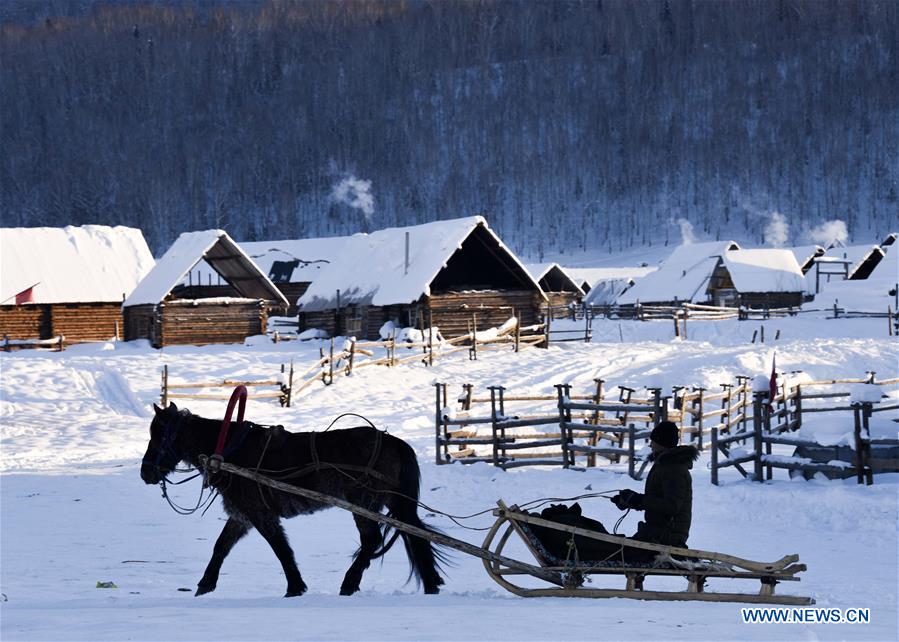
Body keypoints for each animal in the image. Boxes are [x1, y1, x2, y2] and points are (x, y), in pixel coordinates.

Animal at [141, 402, 446, 596]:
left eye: (159, 435)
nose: (145, 472)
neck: (230, 450)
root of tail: (394, 441)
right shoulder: (242, 515)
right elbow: (221, 547)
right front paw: (205, 584)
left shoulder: (260, 514)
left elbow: (281, 549)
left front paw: (295, 588)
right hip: (393, 503)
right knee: (415, 534)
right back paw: (431, 584)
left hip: (363, 503)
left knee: (372, 541)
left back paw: (349, 583)